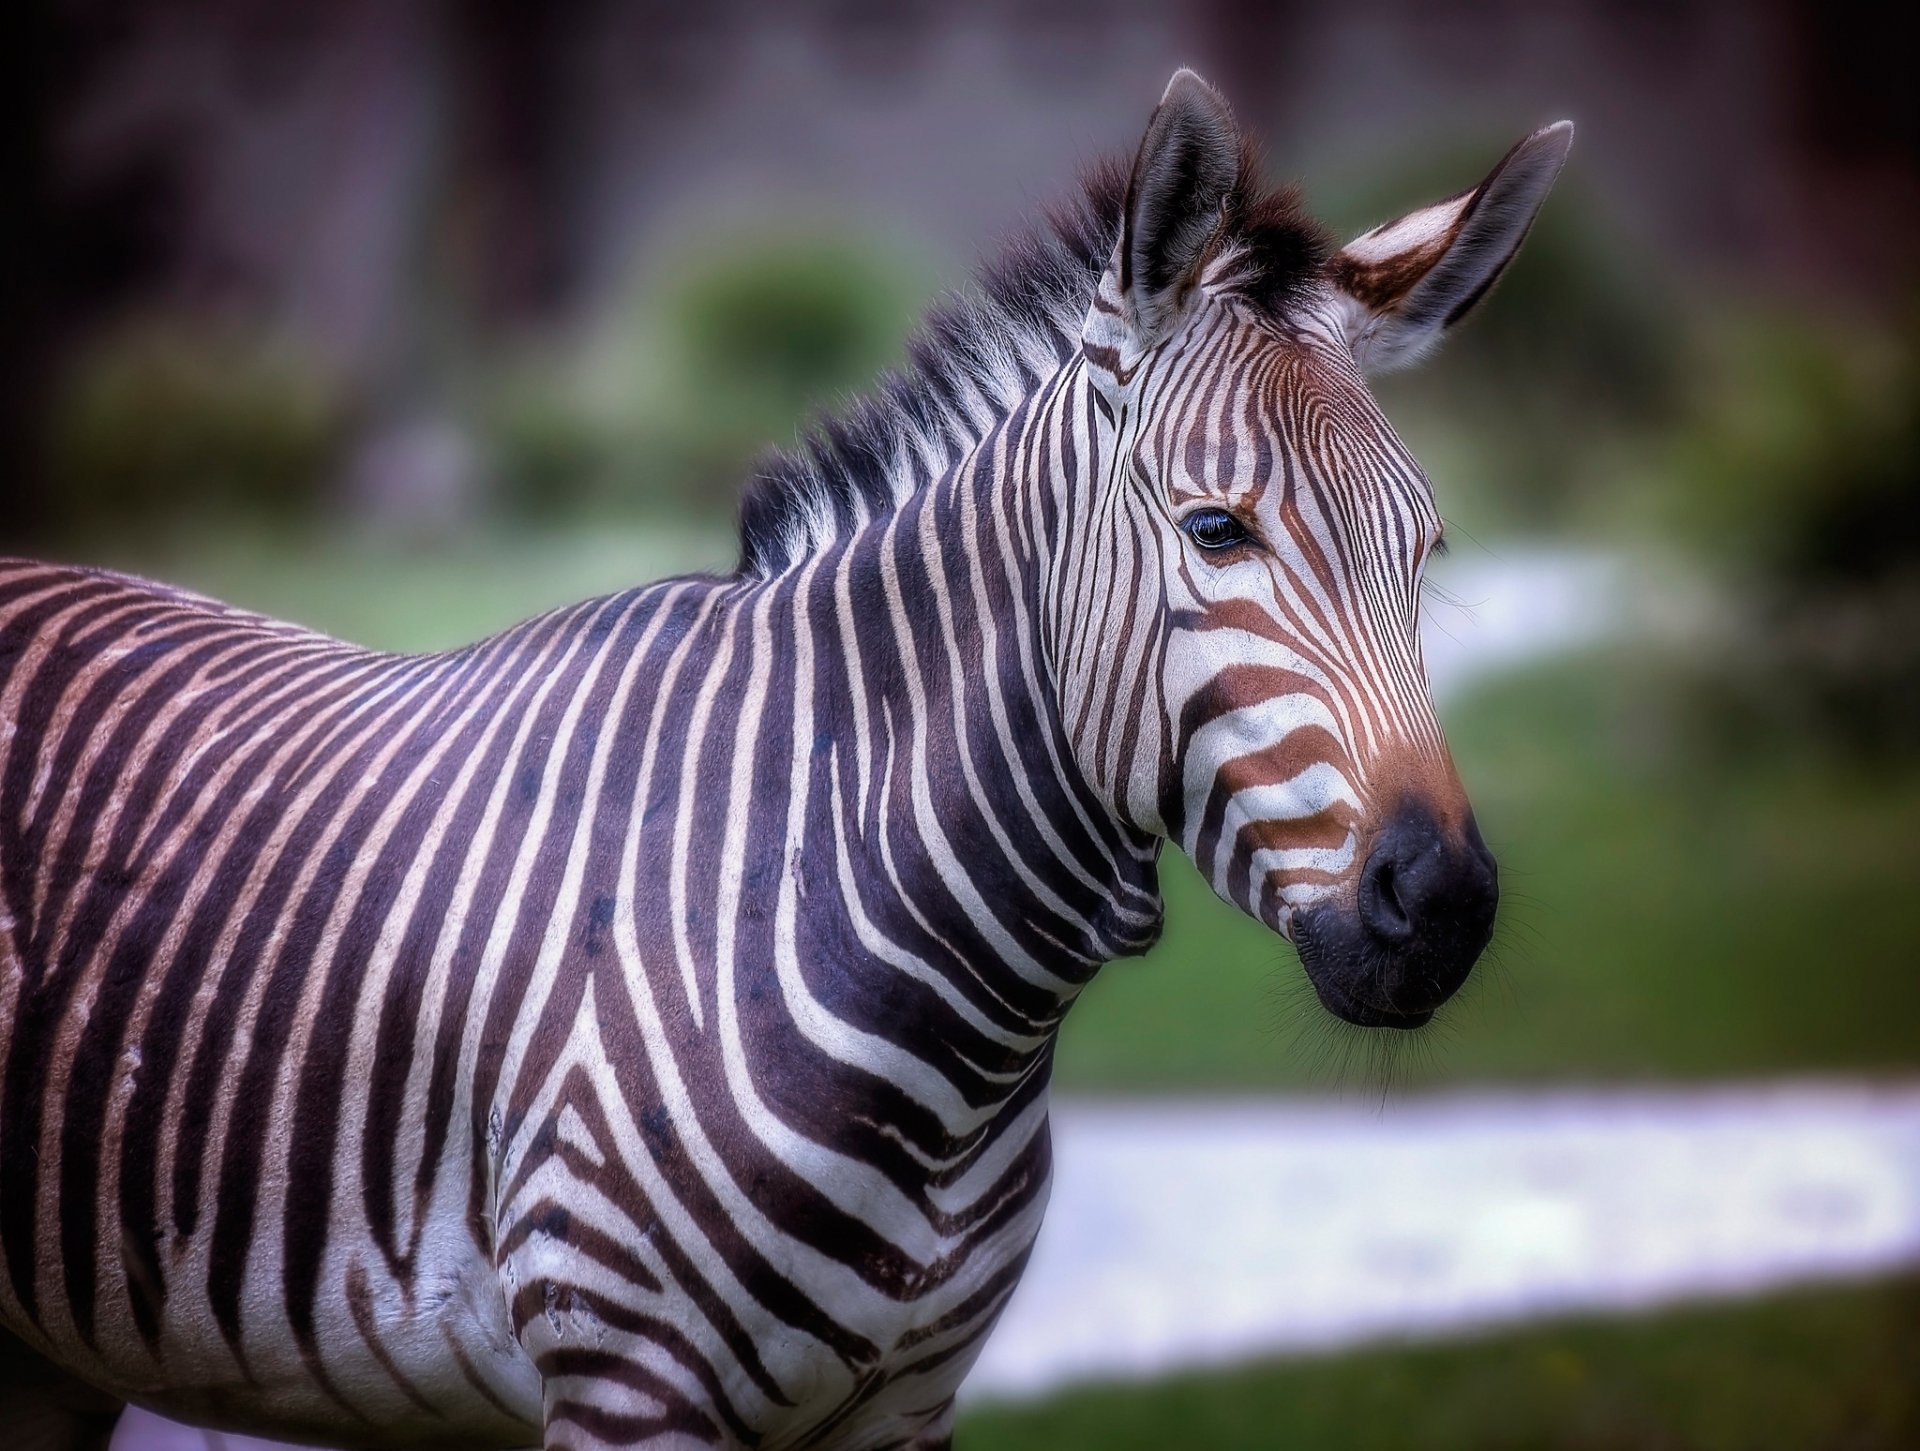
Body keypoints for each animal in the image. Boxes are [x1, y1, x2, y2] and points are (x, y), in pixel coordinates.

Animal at [0, 69, 1568, 1451]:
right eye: (1215, 531)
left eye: (1428, 549)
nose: (1444, 903)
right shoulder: (627, 1380)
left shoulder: (904, 1404)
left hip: (47, 1353)